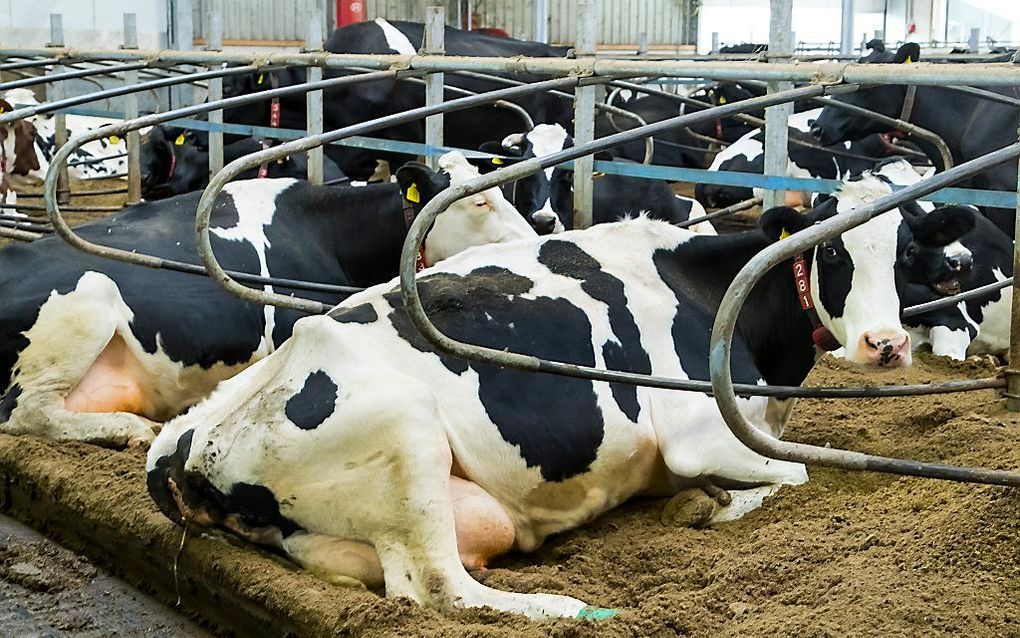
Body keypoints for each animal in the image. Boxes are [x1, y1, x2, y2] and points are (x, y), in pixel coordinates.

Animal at [0, 151, 538, 445]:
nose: (541, 236)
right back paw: (127, 429)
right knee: (23, 412)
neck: (327, 233)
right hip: (86, 300)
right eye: (480, 201)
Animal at [145, 182, 971, 616]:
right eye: (831, 251)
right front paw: (708, 504)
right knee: (442, 589)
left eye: (905, 252)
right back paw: (569, 611)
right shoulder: (695, 434)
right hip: (406, 429)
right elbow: (795, 475)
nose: (886, 345)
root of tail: (189, 444)